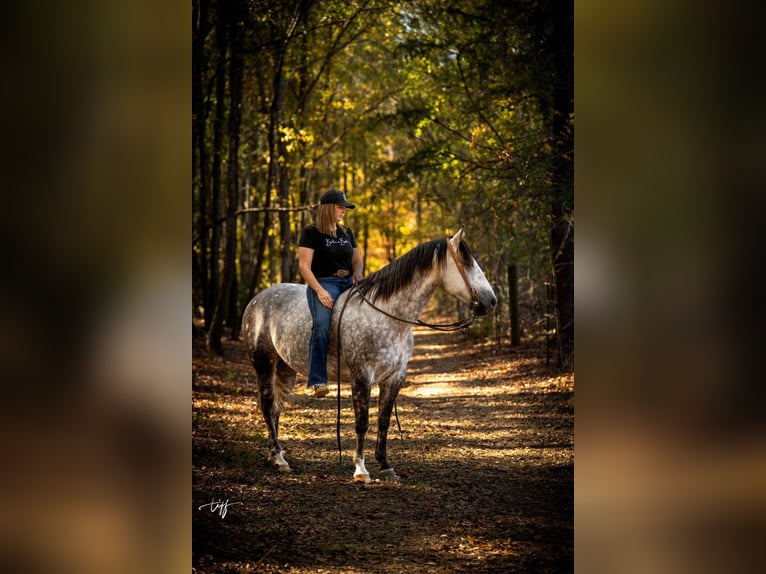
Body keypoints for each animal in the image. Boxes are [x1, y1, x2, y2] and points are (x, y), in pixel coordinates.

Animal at [243, 228, 500, 482]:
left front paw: (385, 466)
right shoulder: (362, 377)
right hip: (263, 363)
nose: (492, 301)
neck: (387, 315)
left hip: (285, 368)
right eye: (467, 263)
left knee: (276, 408)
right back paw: (279, 459)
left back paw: (275, 457)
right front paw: (361, 470)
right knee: (268, 406)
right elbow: (362, 423)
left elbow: (383, 422)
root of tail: (257, 300)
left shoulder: (395, 378)